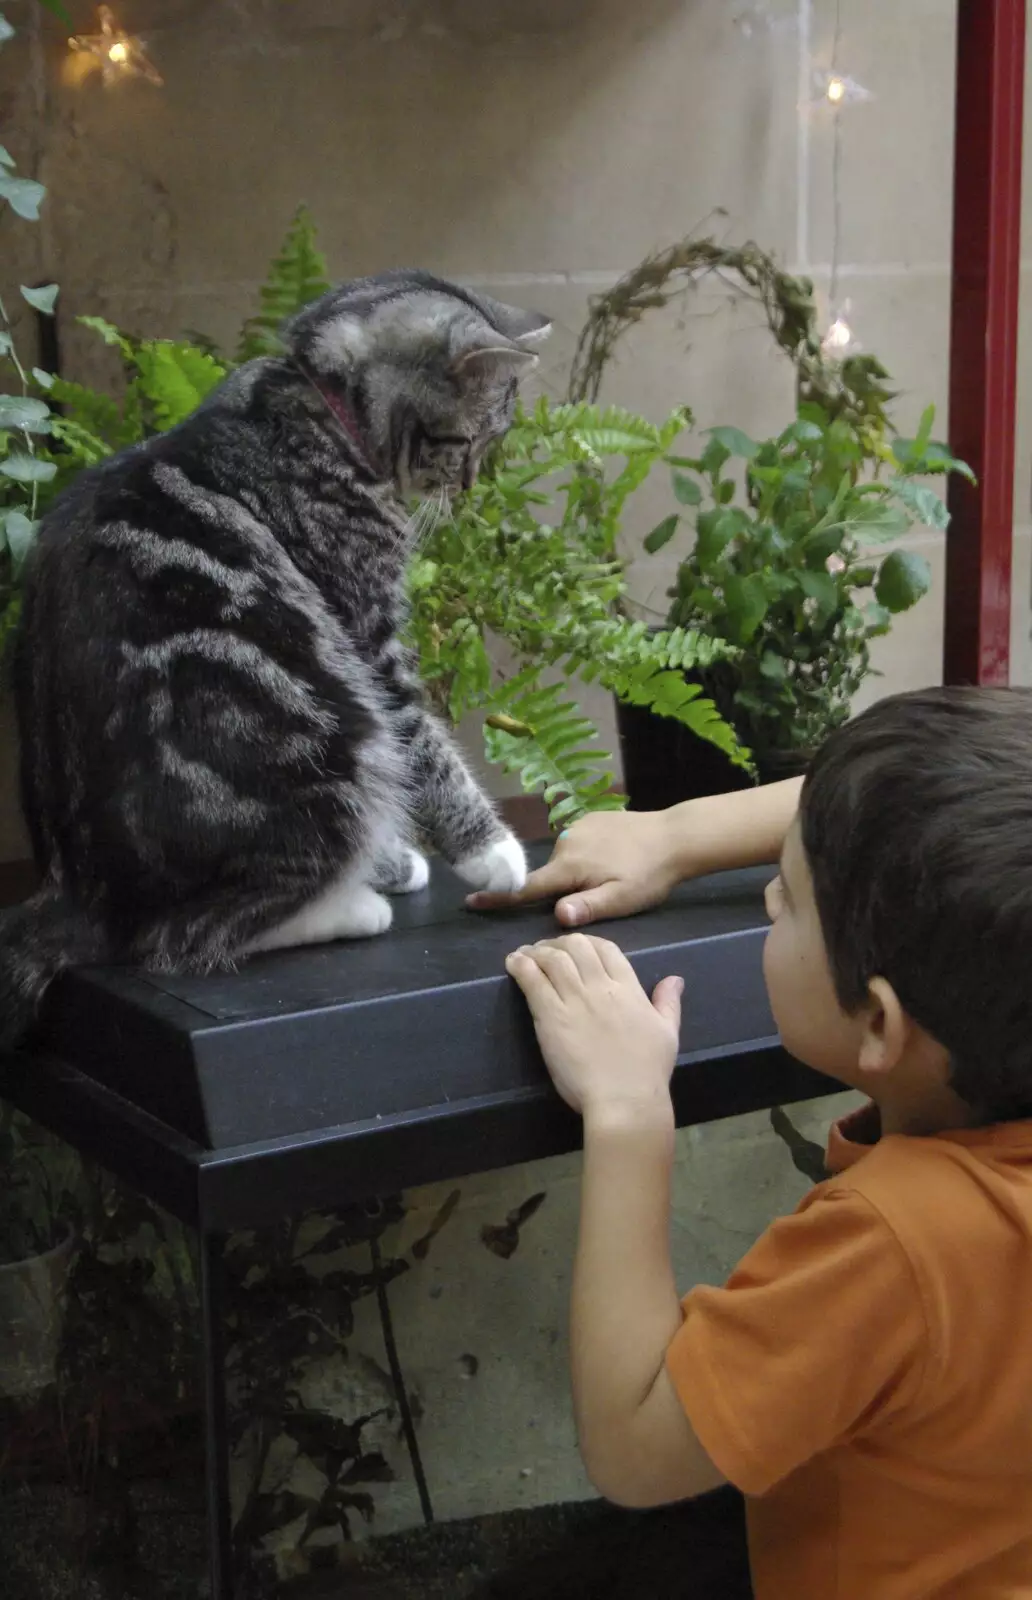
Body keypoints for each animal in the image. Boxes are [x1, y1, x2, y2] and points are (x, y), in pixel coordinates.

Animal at [0, 275, 550, 1049]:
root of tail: (73, 895)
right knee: (179, 939)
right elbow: (426, 745)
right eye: (473, 439)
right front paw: (493, 852)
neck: (315, 403)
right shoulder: (367, 637)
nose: (470, 486)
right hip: (331, 734)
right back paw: (352, 907)